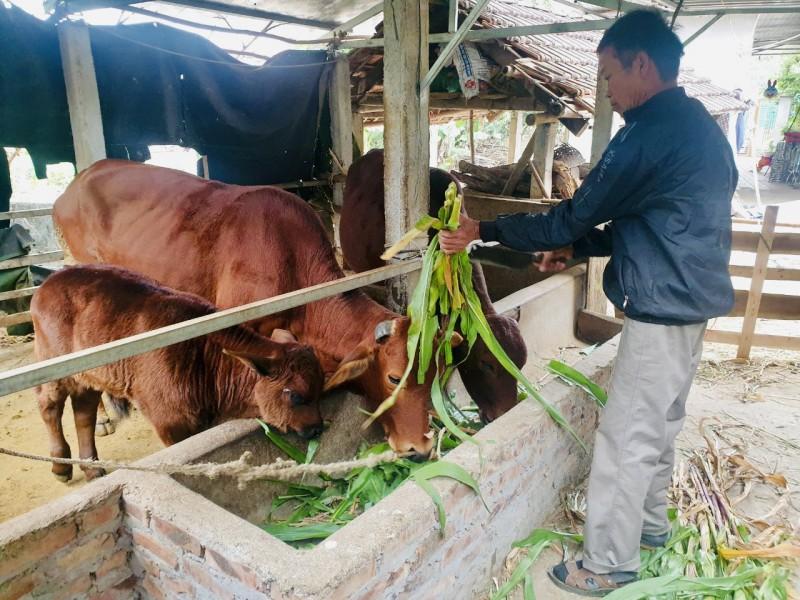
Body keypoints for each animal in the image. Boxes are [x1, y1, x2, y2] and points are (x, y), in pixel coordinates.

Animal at [31, 264, 324, 480]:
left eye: (320, 387)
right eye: (295, 395)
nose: (317, 428)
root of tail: (49, 282)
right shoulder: (169, 421)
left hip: (88, 376)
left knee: (84, 411)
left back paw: (92, 466)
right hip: (55, 368)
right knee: (49, 405)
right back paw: (60, 466)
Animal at [55, 159, 444, 454]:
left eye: (436, 373)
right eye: (393, 377)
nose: (420, 447)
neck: (291, 260)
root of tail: (75, 184)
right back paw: (102, 415)